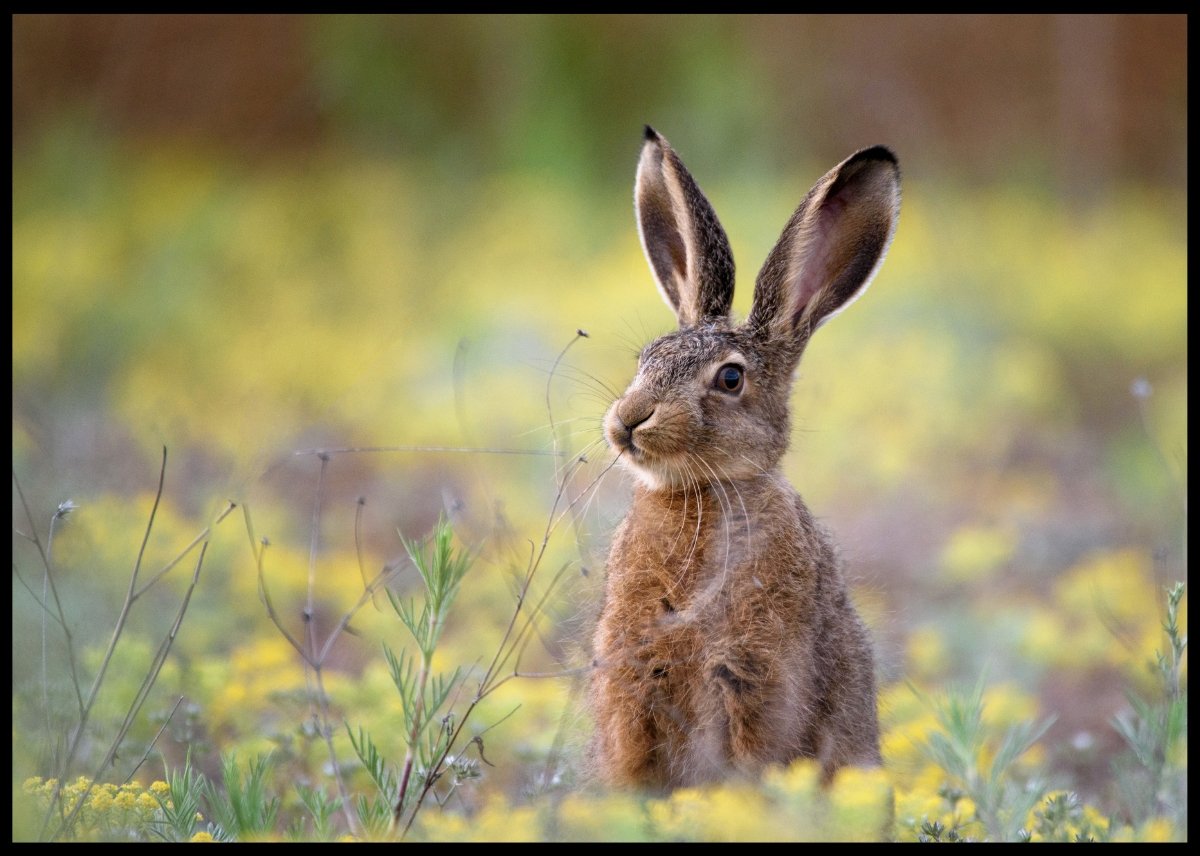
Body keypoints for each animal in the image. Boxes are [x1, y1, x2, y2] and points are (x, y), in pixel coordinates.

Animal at [588, 127, 900, 790]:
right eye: (646, 358)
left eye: (730, 379)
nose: (628, 420)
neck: (701, 493)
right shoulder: (631, 677)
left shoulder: (756, 673)